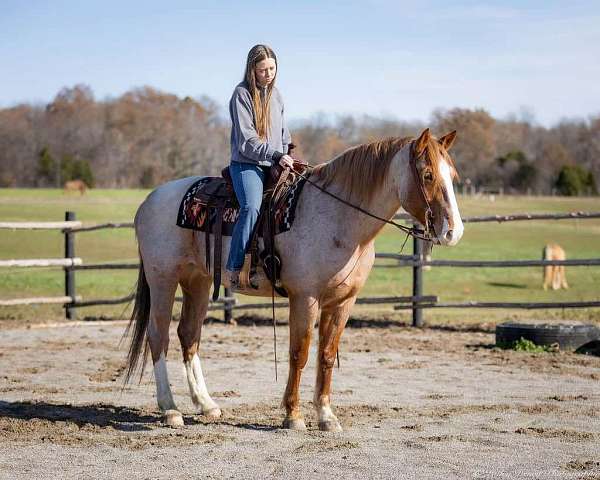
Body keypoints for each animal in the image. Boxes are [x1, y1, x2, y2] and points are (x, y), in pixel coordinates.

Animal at [123, 128, 464, 432]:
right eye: (428, 175)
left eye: (453, 175)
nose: (454, 231)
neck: (338, 218)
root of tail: (149, 201)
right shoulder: (305, 298)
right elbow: (299, 354)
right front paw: (293, 415)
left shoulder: (343, 302)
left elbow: (326, 356)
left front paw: (326, 416)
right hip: (163, 280)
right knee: (159, 336)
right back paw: (170, 409)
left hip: (198, 282)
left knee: (189, 335)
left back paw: (206, 404)